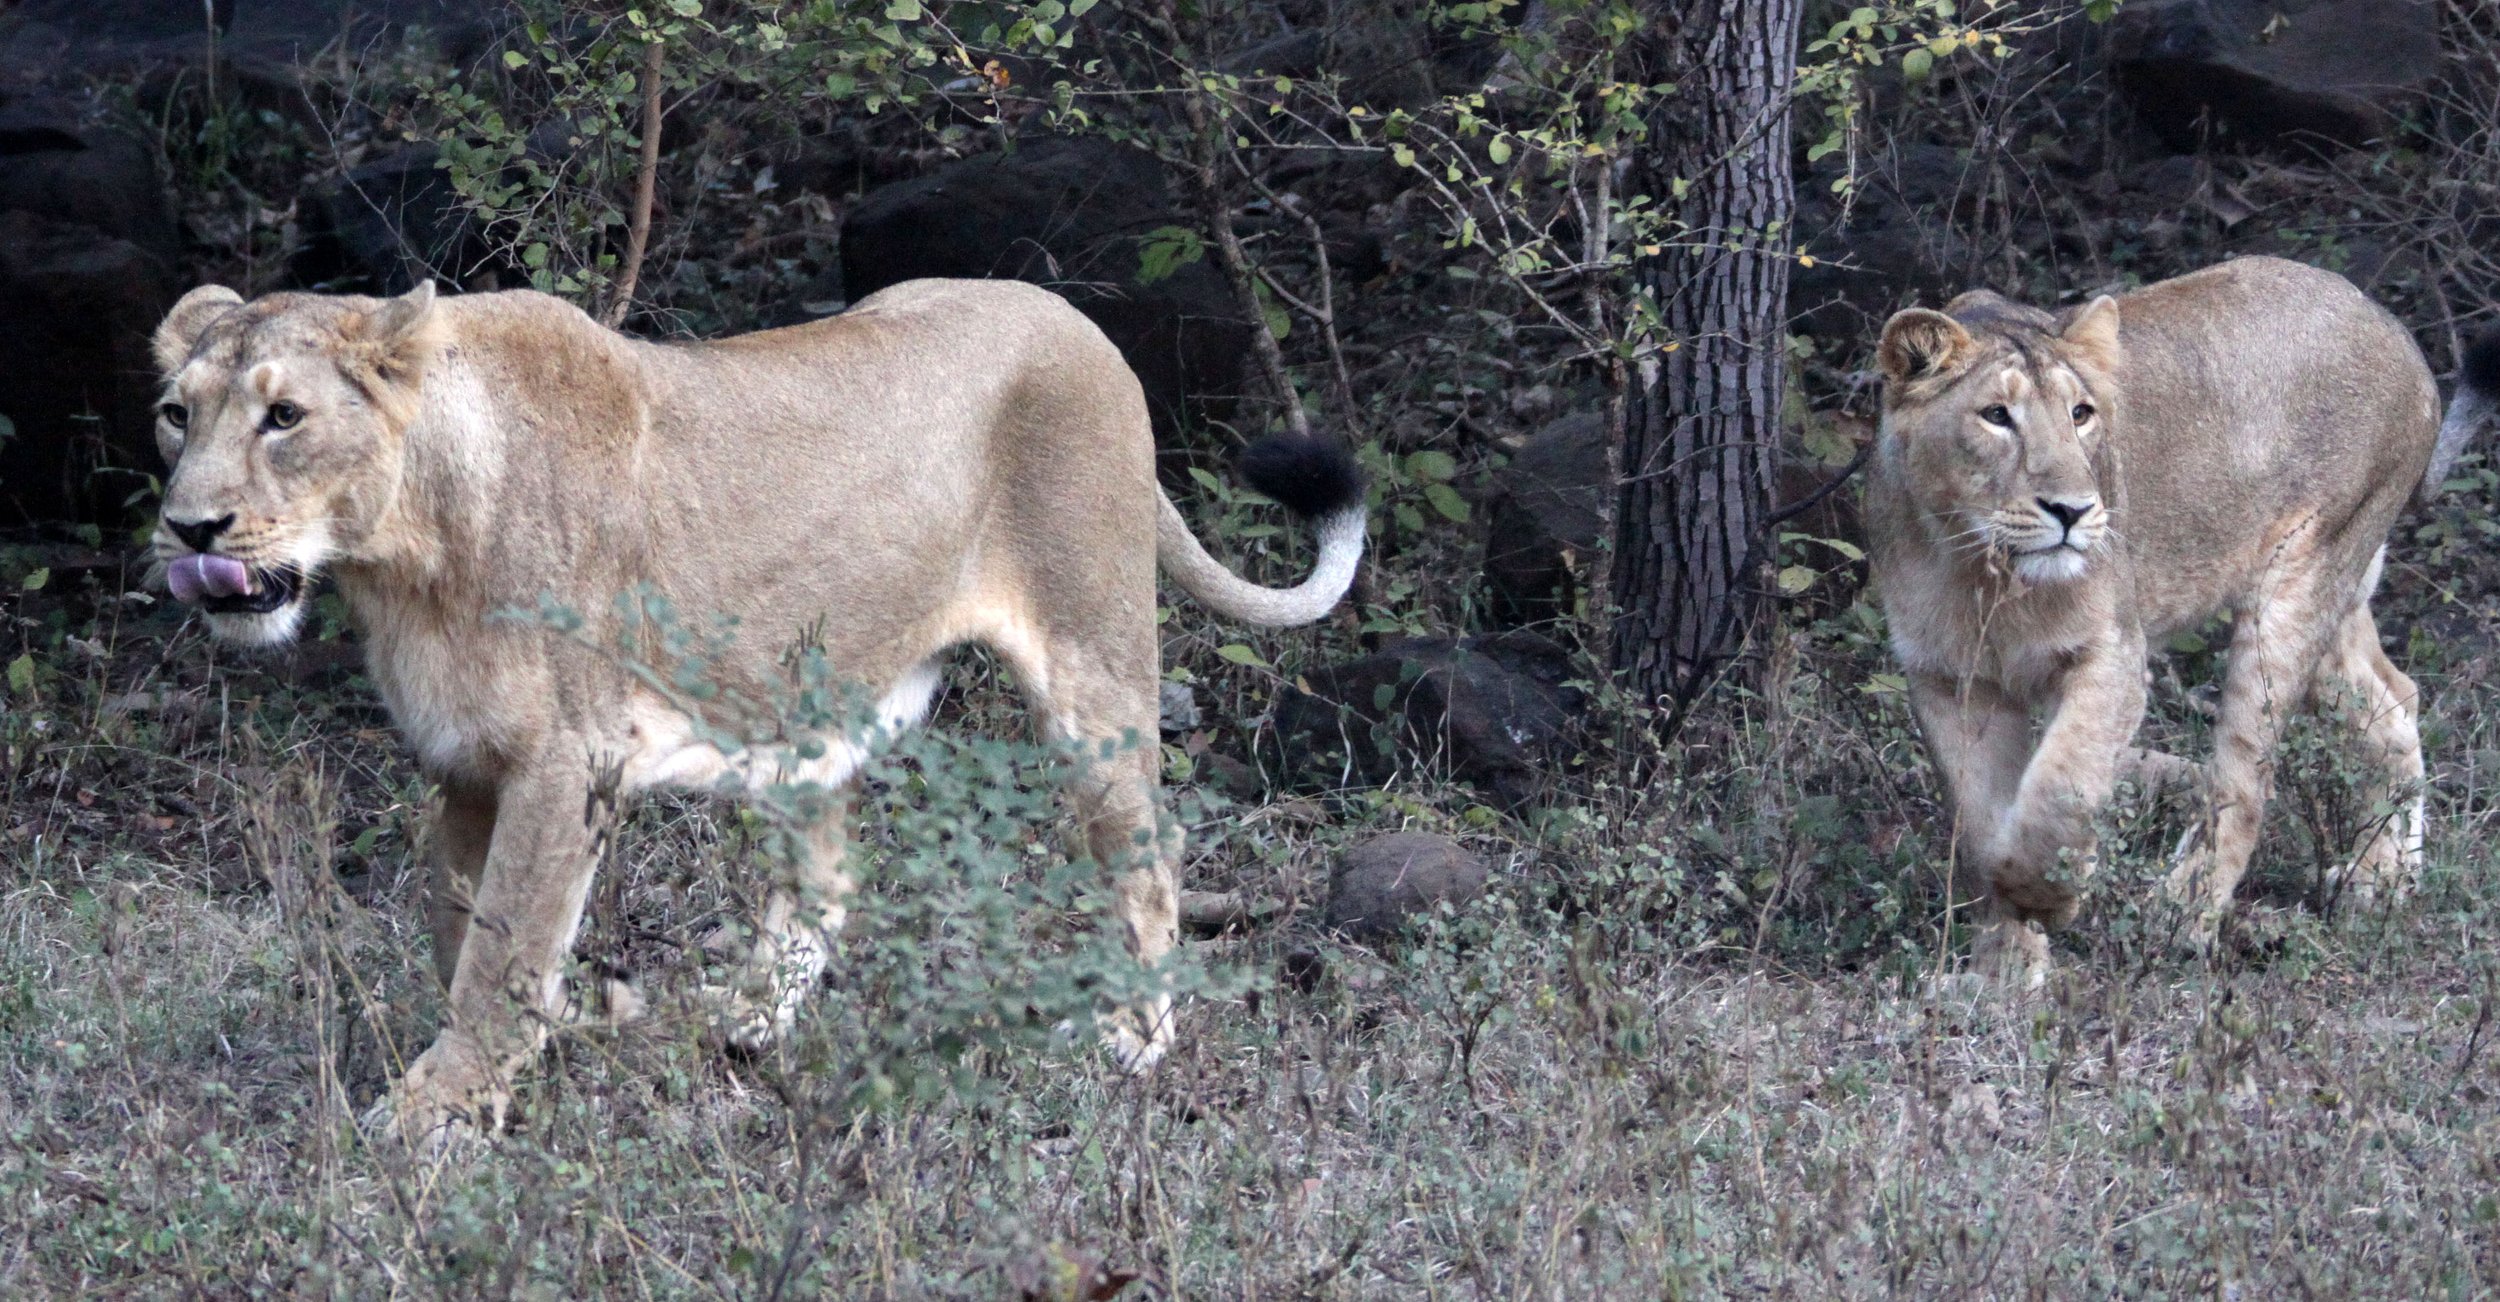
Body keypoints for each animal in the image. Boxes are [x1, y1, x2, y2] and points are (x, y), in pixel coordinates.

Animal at [147, 277, 1367, 1142]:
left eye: (284, 417)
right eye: (174, 416)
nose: (190, 530)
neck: (406, 554)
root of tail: (1078, 321)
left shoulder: (566, 761)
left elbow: (500, 952)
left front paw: (438, 1111)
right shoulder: (461, 765)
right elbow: (462, 931)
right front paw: (534, 1051)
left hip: (1092, 661)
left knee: (1148, 847)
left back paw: (1130, 1037)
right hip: (805, 712)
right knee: (830, 880)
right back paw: (741, 1027)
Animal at [1867, 256, 2453, 985]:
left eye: (2081, 414)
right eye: (1996, 416)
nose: (2072, 510)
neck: (1981, 570)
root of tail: (2396, 330)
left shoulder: (2113, 655)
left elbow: (2059, 790)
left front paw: (2047, 896)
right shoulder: (1950, 680)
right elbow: (1978, 826)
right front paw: (2004, 970)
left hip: (2296, 587)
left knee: (2244, 781)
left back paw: (2181, 916)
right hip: (2340, 595)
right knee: (2394, 701)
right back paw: (2383, 880)